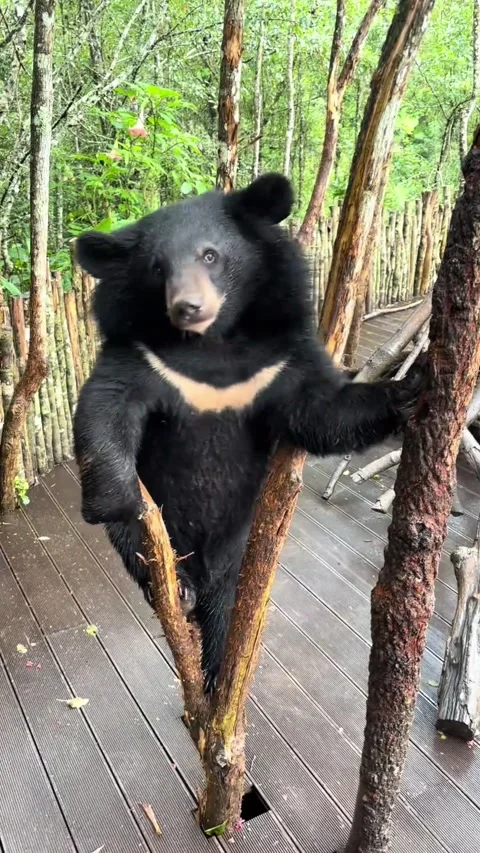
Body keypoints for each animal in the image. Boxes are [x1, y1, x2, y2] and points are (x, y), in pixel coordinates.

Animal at [73, 173, 420, 693]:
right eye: (157, 268)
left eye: (210, 256)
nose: (188, 307)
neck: (212, 345)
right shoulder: (138, 353)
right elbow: (104, 407)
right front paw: (111, 500)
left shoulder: (279, 358)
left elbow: (323, 411)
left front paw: (416, 385)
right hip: (162, 539)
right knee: (139, 547)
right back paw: (179, 590)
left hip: (238, 548)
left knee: (228, 608)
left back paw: (219, 675)